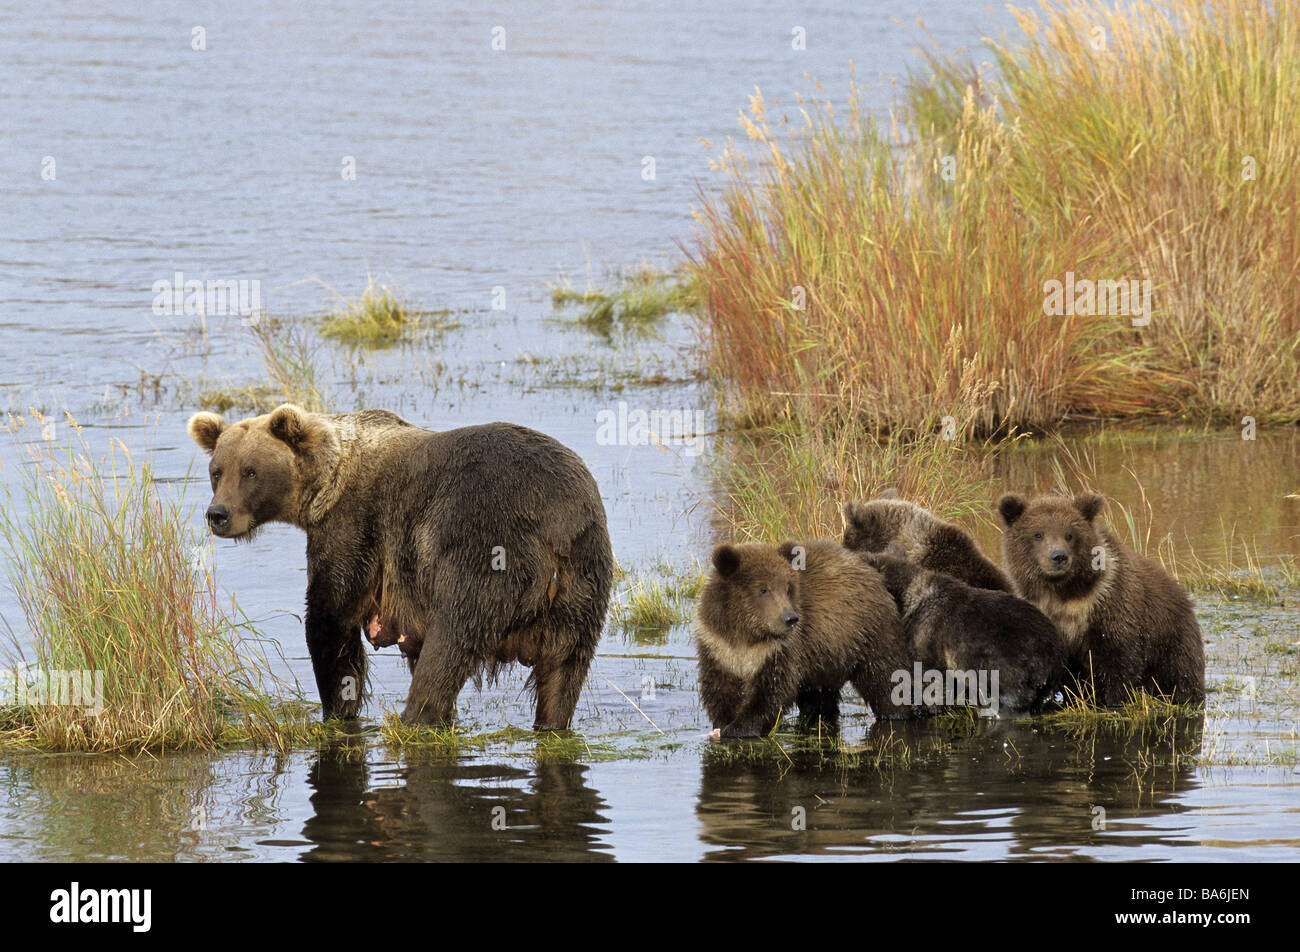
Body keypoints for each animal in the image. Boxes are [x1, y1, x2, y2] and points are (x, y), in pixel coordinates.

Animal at [185, 403, 611, 728]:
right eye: (217, 471)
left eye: (251, 470)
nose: (218, 515)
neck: (324, 489)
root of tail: (554, 522)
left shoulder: (355, 527)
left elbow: (331, 618)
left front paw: (337, 711)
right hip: (584, 578)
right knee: (564, 670)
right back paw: (551, 721)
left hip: (483, 546)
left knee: (450, 643)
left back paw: (414, 718)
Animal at [691, 535, 915, 738]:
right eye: (763, 589)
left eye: (787, 588)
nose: (790, 618)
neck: (746, 635)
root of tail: (873, 573)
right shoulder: (717, 645)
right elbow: (719, 686)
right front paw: (723, 722)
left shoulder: (782, 650)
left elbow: (771, 691)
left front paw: (741, 727)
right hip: (825, 660)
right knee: (819, 695)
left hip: (869, 633)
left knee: (885, 677)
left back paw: (897, 713)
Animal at [993, 491, 1206, 707]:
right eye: (1038, 534)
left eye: (1069, 535)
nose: (1058, 556)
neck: (1065, 594)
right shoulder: (1048, 617)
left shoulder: (1109, 603)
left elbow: (1117, 658)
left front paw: (1109, 699)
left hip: (1171, 640)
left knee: (1178, 676)